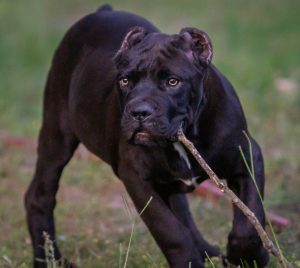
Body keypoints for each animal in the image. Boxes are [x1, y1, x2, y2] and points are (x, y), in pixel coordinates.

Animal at [25, 4, 270, 268]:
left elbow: (250, 218)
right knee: (39, 197)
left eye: (172, 82)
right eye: (124, 81)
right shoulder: (138, 181)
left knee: (182, 209)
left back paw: (207, 251)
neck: (184, 138)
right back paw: (48, 259)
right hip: (57, 137)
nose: (139, 112)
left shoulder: (247, 158)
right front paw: (190, 261)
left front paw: (250, 257)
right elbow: (170, 230)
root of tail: (103, 10)